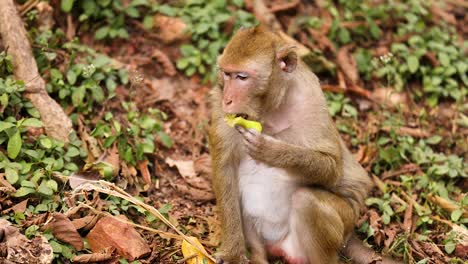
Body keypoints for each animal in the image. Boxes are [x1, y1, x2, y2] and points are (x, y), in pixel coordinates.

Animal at [209, 25, 394, 264]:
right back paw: (259, 255)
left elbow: (332, 167)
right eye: (226, 73)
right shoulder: (218, 102)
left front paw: (272, 151)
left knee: (307, 201)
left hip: (344, 222)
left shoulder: (311, 100)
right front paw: (233, 253)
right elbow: (225, 169)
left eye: (242, 77)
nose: (227, 99)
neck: (269, 111)